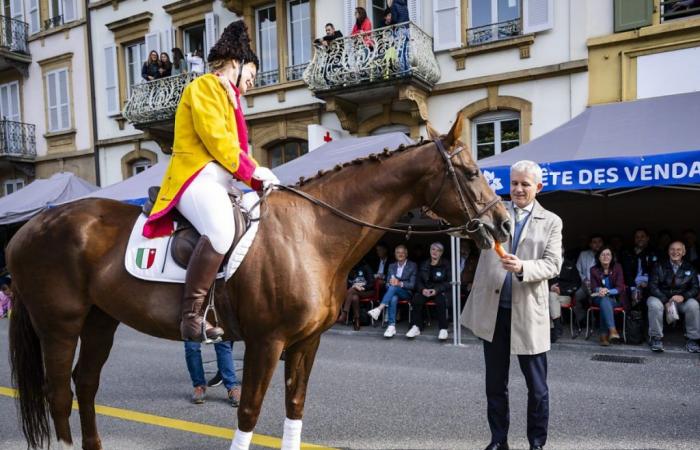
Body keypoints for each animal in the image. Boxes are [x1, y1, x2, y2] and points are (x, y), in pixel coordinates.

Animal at [6, 118, 508, 448]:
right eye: (470, 172)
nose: (502, 223)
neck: (311, 232)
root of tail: (30, 227)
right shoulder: (267, 342)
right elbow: (248, 411)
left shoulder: (305, 342)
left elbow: (294, 407)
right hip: (59, 327)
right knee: (59, 395)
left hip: (99, 322)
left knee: (85, 385)